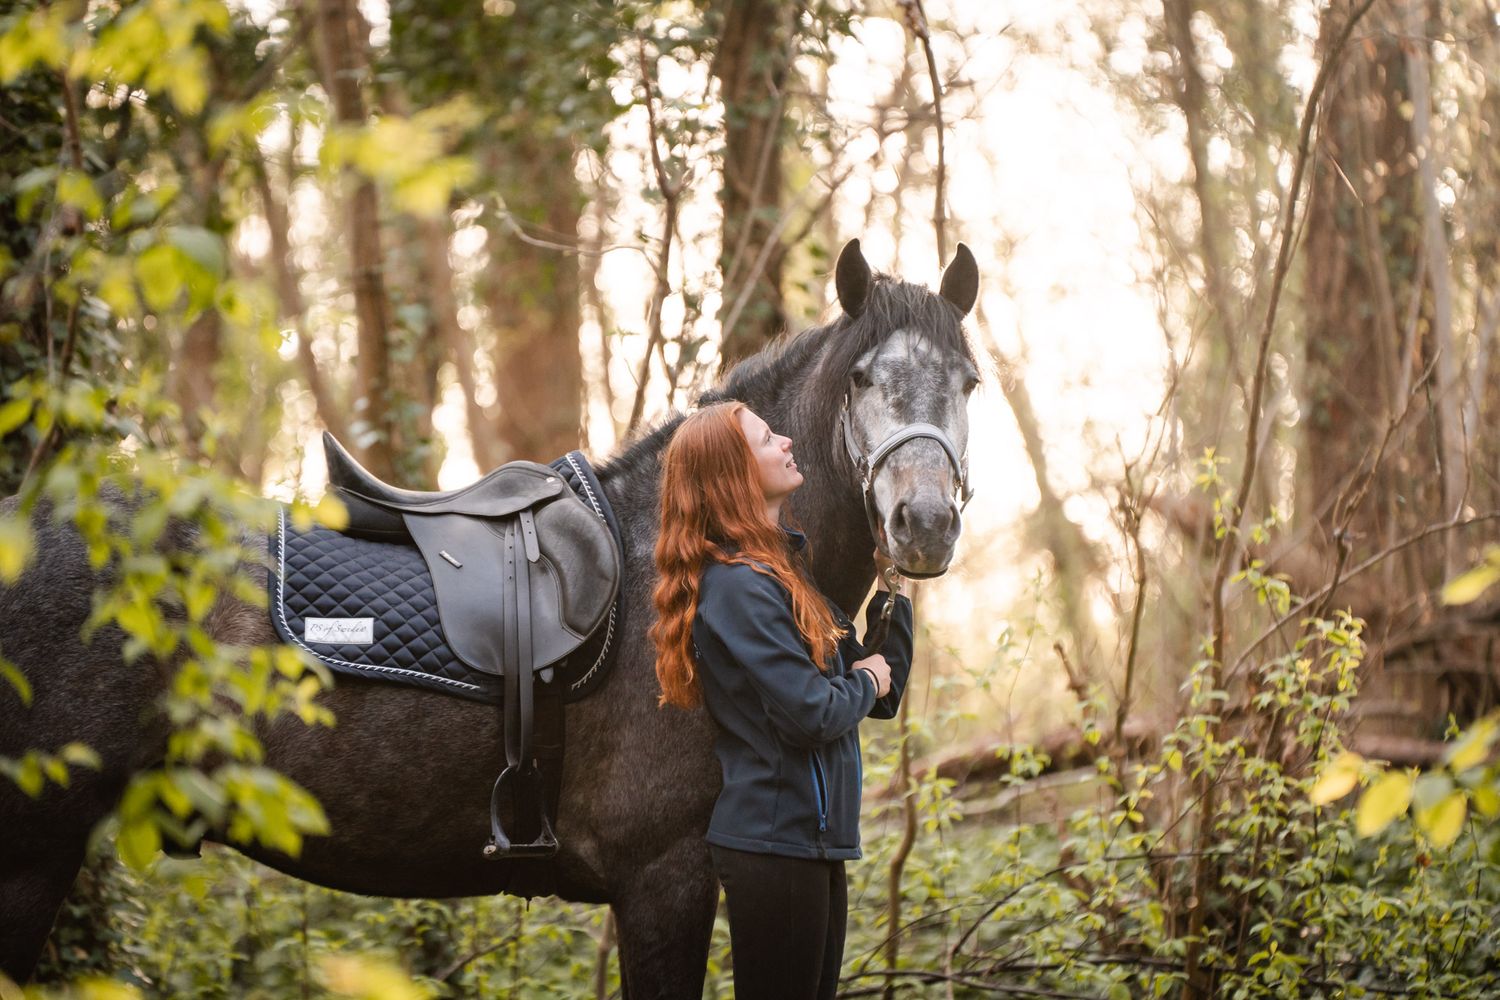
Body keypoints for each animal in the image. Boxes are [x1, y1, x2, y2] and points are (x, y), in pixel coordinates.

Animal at [0, 238, 981, 996]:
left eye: (968, 383)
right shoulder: (666, 878)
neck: (689, 551)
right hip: (33, 846)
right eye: (862, 378)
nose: (925, 523)